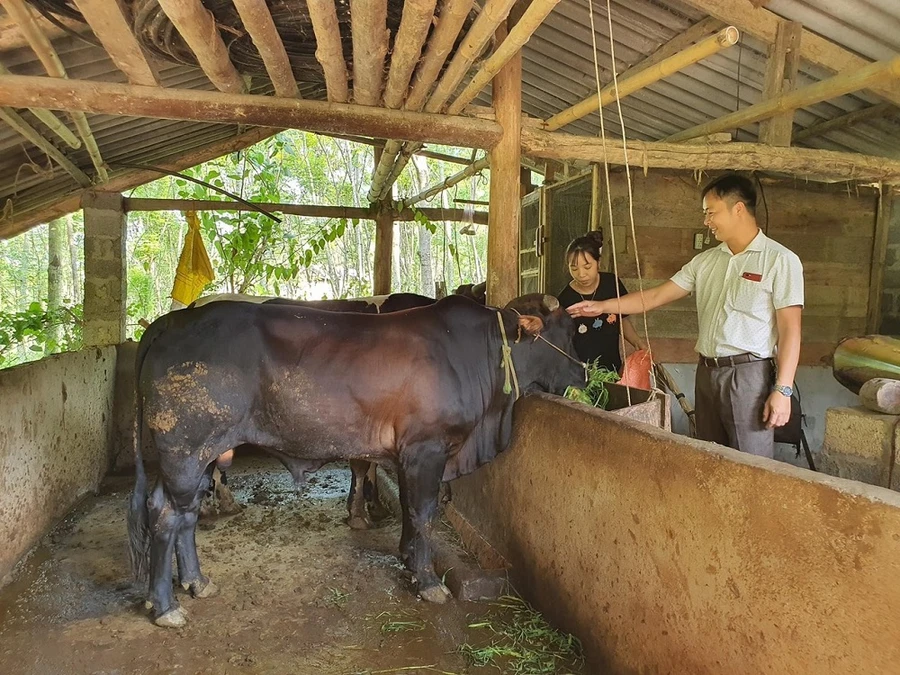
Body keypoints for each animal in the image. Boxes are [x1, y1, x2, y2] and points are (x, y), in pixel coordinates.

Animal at [130, 294, 588, 628]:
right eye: (564, 333)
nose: (585, 374)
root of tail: (171, 321)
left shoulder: (405, 455)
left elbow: (407, 506)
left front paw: (407, 559)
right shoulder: (427, 449)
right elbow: (424, 513)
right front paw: (427, 581)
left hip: (197, 456)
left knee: (181, 514)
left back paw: (196, 581)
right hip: (186, 450)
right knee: (168, 517)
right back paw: (167, 606)